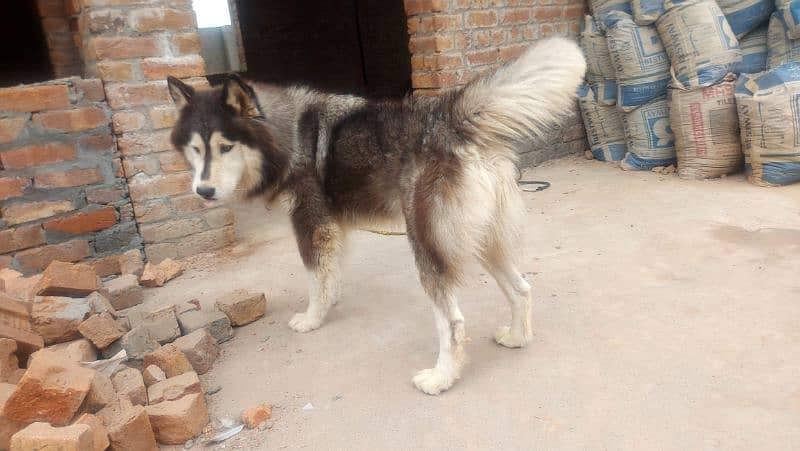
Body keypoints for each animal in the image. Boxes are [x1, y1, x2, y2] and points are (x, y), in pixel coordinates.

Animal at [166, 37, 584, 394]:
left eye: (225, 147)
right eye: (195, 149)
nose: (202, 191)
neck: (286, 133)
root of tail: (450, 117)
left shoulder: (310, 223)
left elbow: (314, 278)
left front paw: (312, 318)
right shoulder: (332, 227)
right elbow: (329, 274)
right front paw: (330, 302)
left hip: (427, 244)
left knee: (453, 323)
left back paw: (441, 378)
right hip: (484, 239)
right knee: (522, 289)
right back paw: (517, 337)